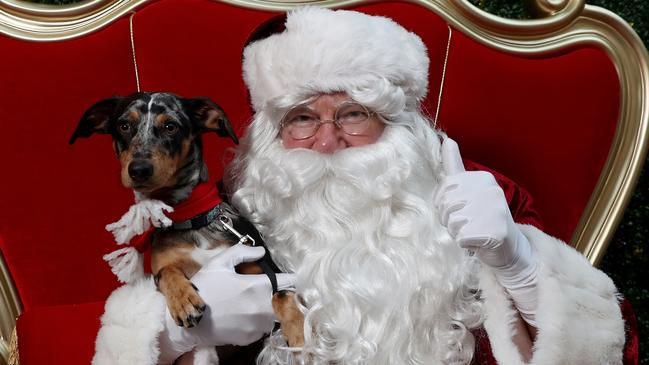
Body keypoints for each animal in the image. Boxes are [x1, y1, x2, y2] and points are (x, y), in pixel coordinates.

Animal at [69, 91, 302, 350]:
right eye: (124, 126)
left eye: (170, 126)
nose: (139, 169)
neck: (191, 218)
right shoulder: (161, 268)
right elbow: (166, 271)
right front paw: (184, 301)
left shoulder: (268, 271)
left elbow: (283, 294)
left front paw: (300, 335)